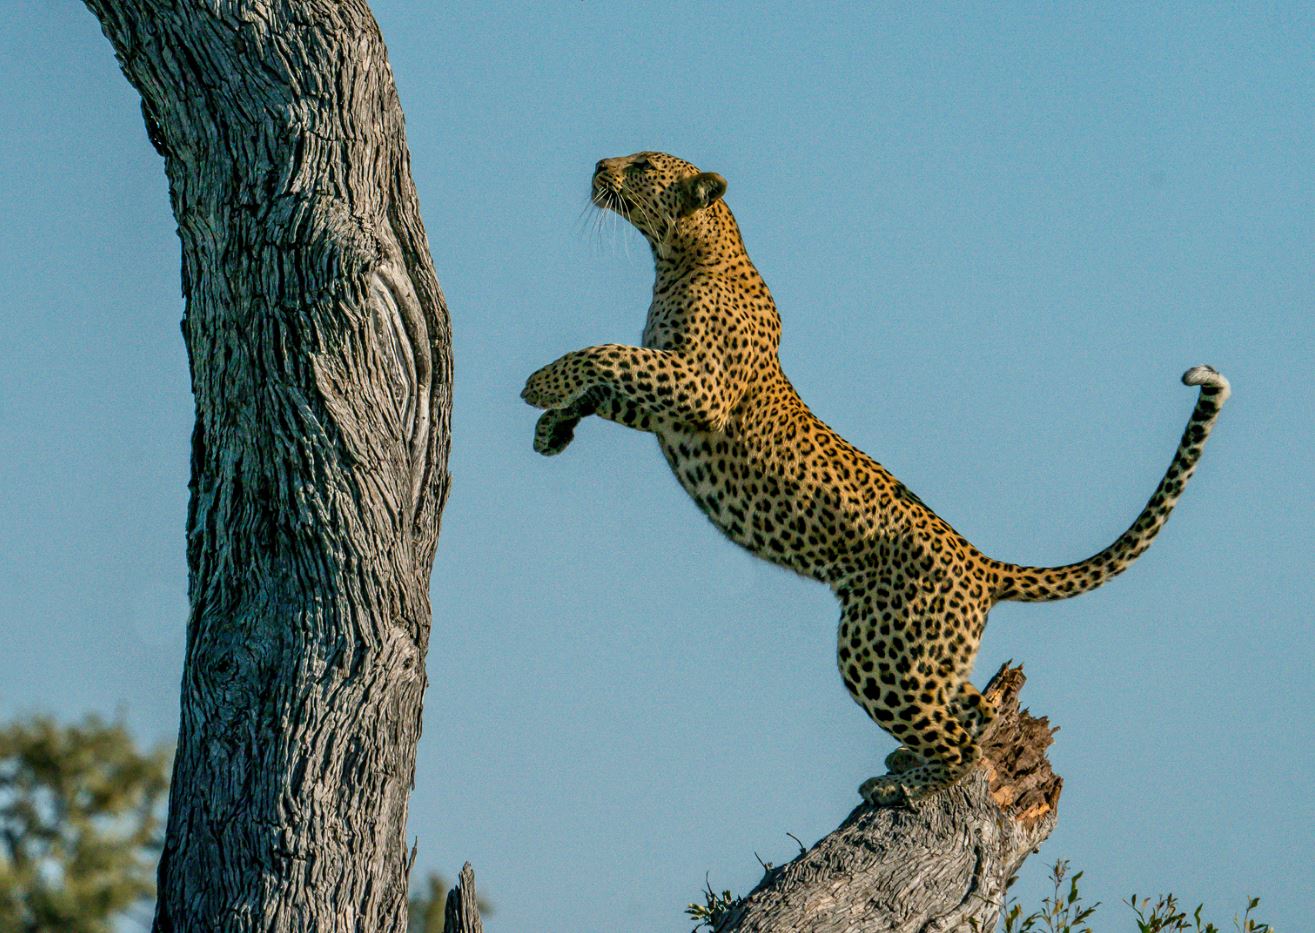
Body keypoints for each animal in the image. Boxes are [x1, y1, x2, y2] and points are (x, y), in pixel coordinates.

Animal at [521, 150, 1230, 805]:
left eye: (643, 165)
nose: (598, 165)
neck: (678, 256)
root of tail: (982, 563)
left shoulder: (700, 387)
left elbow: (604, 353)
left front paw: (539, 384)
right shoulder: (671, 404)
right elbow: (610, 387)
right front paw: (554, 427)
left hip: (877, 650)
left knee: (962, 747)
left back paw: (899, 785)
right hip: (932, 657)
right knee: (977, 710)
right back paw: (911, 757)